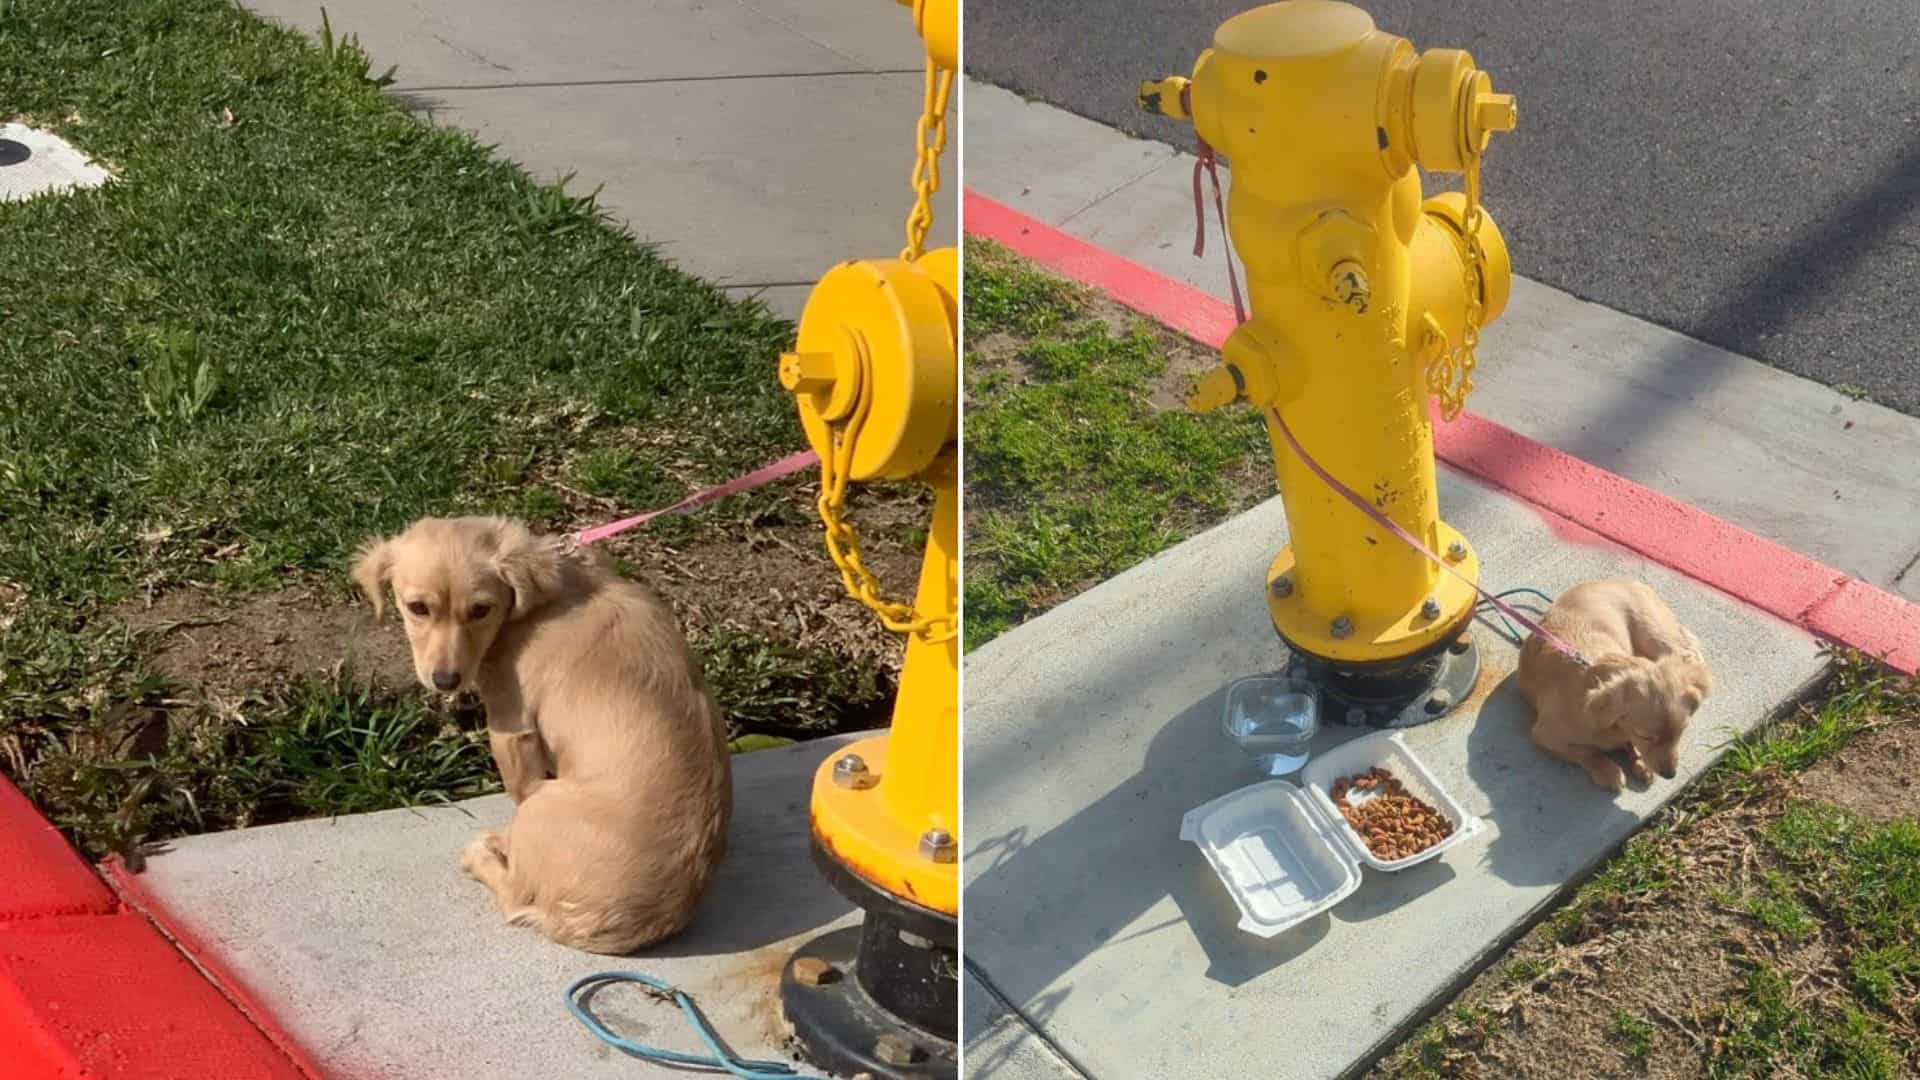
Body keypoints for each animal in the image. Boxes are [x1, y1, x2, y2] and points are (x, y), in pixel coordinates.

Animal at [349, 518, 729, 945]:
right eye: (417, 608)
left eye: (481, 609)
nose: (446, 681)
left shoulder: (510, 727)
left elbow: (518, 788)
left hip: (541, 806)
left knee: (515, 895)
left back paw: (485, 853)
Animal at [1512, 580, 1712, 791]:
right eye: (1646, 737)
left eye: (1681, 733)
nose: (1670, 775)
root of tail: (1628, 580)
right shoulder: (1544, 735)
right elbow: (1587, 753)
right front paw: (1609, 771)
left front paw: (1639, 761)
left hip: (1656, 635)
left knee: (1690, 655)